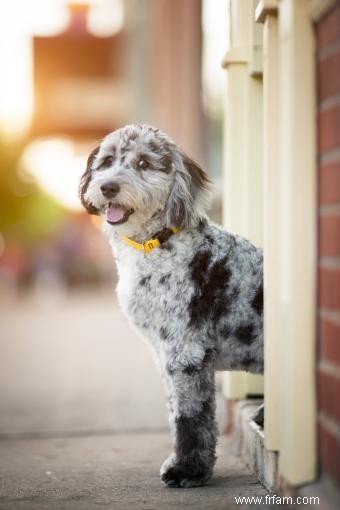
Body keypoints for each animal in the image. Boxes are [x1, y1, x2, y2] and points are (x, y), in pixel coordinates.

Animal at [79, 122, 262, 486]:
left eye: (143, 164)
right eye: (106, 161)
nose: (108, 186)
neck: (156, 245)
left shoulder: (185, 352)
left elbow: (189, 415)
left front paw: (186, 471)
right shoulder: (164, 354)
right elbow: (176, 409)